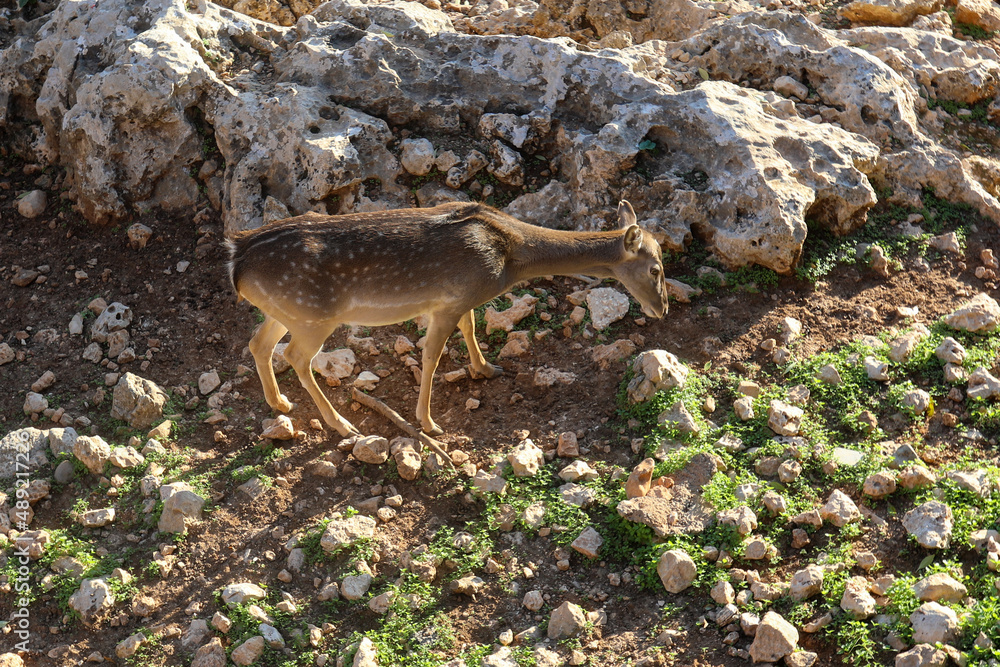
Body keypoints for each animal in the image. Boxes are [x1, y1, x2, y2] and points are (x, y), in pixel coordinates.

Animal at [229, 198, 668, 438]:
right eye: (656, 269)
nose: (661, 309)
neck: (510, 258)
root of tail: (235, 260)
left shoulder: (462, 300)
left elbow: (470, 327)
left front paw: (485, 369)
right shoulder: (447, 302)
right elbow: (431, 356)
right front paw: (428, 422)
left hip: (288, 312)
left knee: (258, 343)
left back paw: (280, 402)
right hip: (314, 316)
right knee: (295, 357)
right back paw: (342, 424)